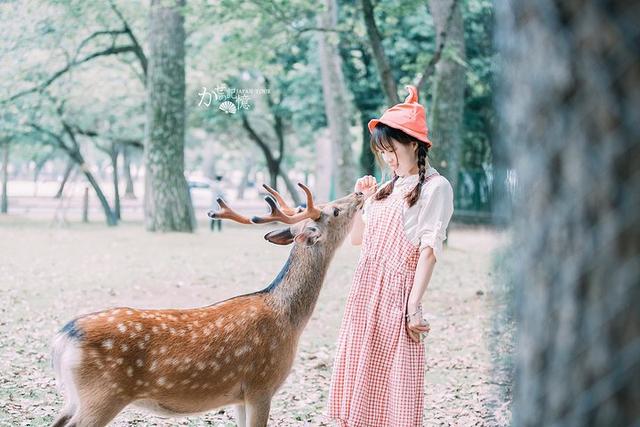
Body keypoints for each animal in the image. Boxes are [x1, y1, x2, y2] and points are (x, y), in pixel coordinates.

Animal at [50, 184, 364, 427]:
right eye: (334, 211)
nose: (360, 193)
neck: (289, 321)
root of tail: (64, 337)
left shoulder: (239, 397)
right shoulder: (260, 385)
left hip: (73, 398)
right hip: (102, 395)